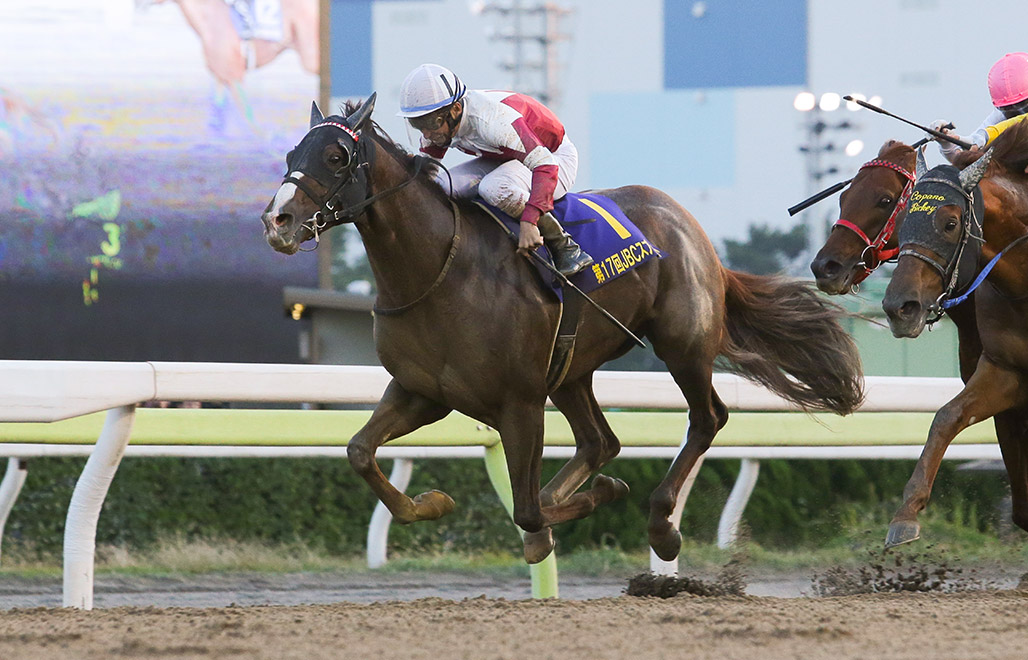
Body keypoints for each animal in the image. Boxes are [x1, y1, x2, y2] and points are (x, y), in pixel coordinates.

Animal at [260, 95, 864, 563]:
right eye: (291, 154)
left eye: (336, 155)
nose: (277, 221)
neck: (438, 268)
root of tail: (696, 234)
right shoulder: (422, 391)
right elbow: (360, 451)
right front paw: (433, 502)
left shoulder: (520, 400)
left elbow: (527, 506)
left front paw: (588, 504)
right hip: (573, 369)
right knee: (601, 441)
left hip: (683, 344)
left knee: (706, 418)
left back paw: (661, 525)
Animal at [881, 120, 1028, 548]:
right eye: (902, 221)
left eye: (949, 223)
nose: (899, 307)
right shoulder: (1006, 370)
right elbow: (947, 416)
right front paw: (906, 514)